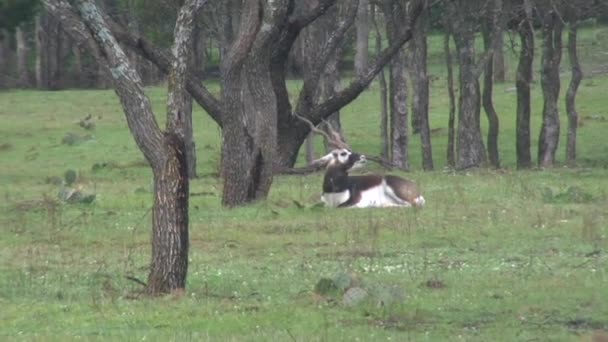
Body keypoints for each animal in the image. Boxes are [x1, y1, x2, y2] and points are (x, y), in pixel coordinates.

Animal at [296, 114, 426, 208]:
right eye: (343, 153)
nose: (363, 157)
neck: (334, 189)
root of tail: (415, 187)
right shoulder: (324, 204)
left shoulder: (354, 202)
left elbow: (342, 206)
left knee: (412, 205)